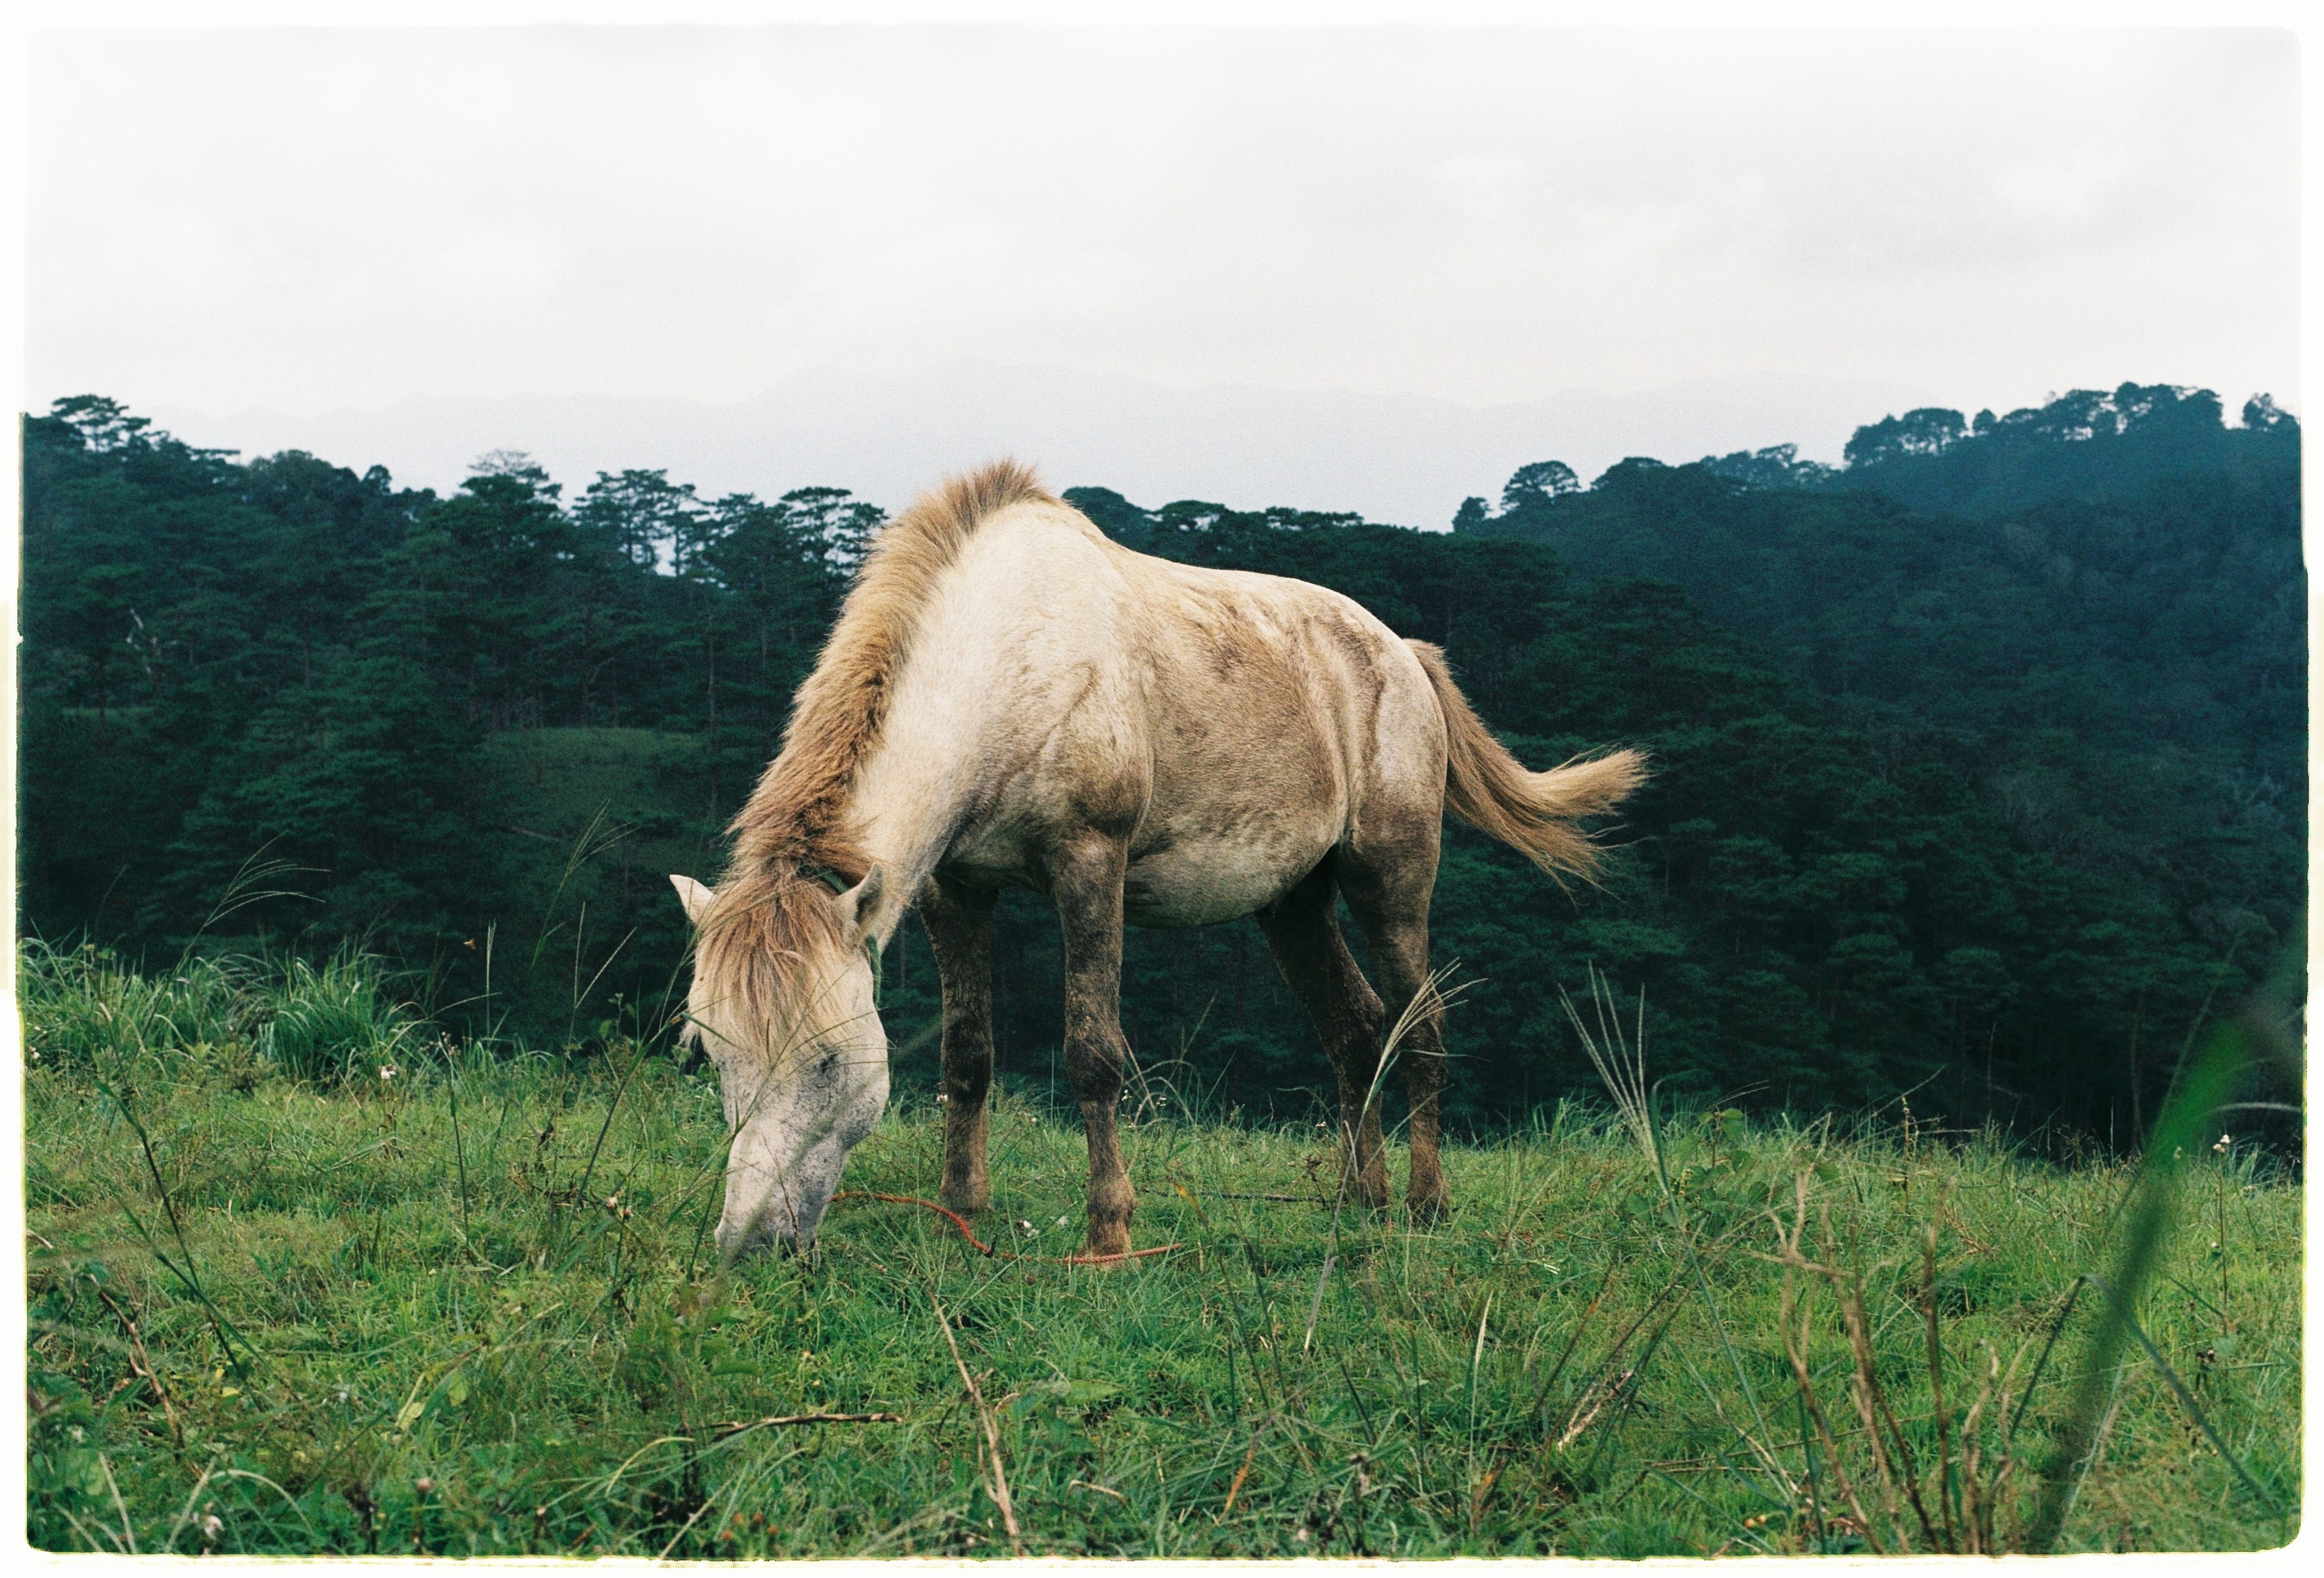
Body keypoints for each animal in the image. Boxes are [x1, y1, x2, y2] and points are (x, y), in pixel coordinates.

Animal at [678, 460, 1654, 1255]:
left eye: (826, 1062)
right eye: (711, 1052)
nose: (752, 1240)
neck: (1009, 658)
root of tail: (1403, 653)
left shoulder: (1089, 864)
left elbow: (1092, 1051)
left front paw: (1109, 1229)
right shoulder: (956, 888)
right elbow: (966, 1053)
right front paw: (963, 1207)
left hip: (1390, 878)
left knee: (1419, 1026)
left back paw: (1423, 1204)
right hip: (1291, 901)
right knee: (1353, 1027)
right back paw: (1359, 1200)